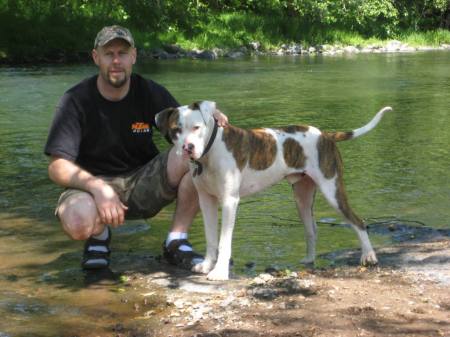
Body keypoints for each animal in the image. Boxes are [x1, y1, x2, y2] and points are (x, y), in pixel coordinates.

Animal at [156, 101, 392, 280]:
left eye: (197, 127)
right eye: (176, 130)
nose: (188, 148)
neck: (211, 151)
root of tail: (325, 135)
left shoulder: (230, 201)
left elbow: (224, 242)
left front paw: (220, 272)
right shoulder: (206, 200)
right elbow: (211, 238)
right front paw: (206, 265)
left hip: (332, 189)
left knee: (358, 221)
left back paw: (369, 256)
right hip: (302, 197)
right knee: (312, 229)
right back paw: (310, 259)